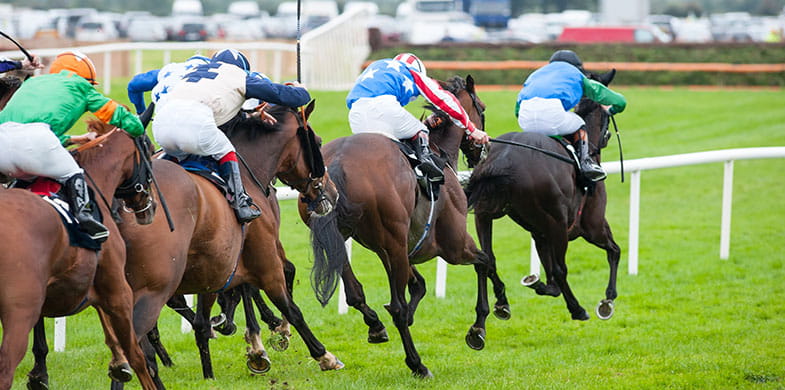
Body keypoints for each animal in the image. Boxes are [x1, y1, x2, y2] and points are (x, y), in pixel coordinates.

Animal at [0, 122, 158, 390]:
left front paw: (118, 363)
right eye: (148, 148)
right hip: (19, 313)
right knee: (5, 370)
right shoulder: (118, 288)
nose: (152, 206)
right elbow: (137, 355)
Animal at [302, 74, 490, 376]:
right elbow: (484, 262)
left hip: (338, 238)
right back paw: (417, 364)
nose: (482, 150)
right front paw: (480, 327)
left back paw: (376, 326)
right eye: (481, 108)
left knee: (356, 293)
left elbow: (419, 285)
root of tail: (340, 159)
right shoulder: (454, 245)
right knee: (397, 308)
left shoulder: (392, 249)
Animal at [462, 69, 620, 322]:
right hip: (558, 223)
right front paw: (607, 301)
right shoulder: (591, 224)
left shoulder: (540, 232)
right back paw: (577, 309)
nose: (606, 138)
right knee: (561, 269)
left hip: (486, 213)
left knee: (487, 259)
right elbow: (614, 251)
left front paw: (535, 283)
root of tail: (505, 158)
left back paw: (495, 308)